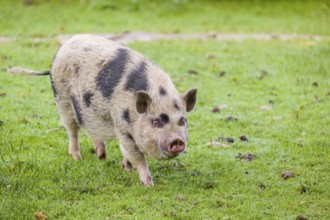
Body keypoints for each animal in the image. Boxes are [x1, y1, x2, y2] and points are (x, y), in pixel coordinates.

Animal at [9, 34, 197, 186]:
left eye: (182, 120)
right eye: (156, 122)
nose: (176, 140)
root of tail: (59, 52)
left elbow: (125, 151)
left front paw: (126, 168)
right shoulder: (122, 126)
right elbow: (136, 155)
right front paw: (148, 184)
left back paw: (101, 157)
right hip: (62, 100)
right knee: (72, 130)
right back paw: (78, 158)